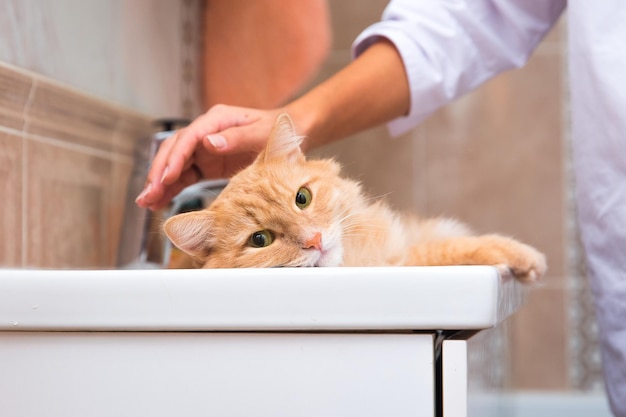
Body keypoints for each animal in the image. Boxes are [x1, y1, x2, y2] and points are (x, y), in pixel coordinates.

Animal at [165, 112, 544, 282]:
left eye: (302, 198)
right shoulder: (401, 260)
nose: (315, 240)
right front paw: (523, 256)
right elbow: (450, 248)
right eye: (260, 240)